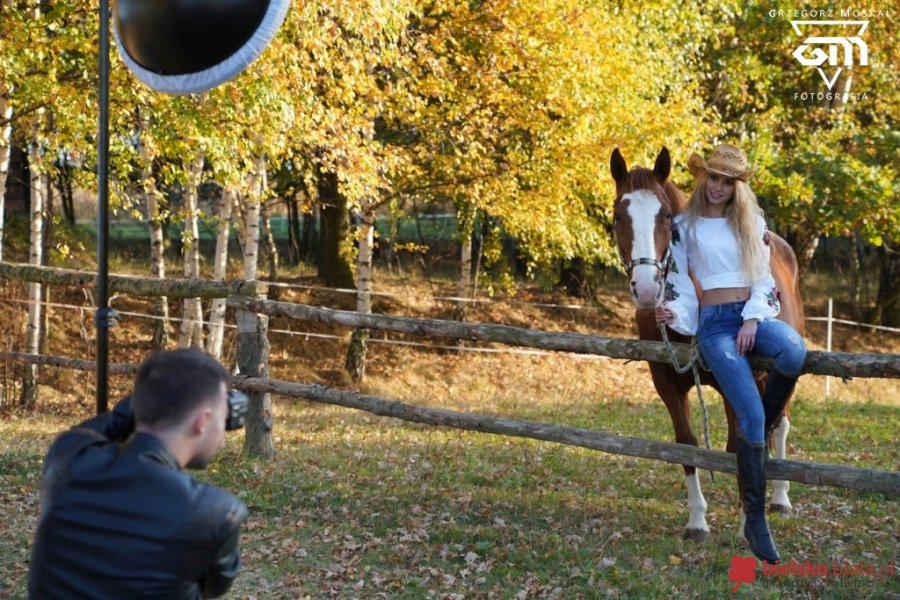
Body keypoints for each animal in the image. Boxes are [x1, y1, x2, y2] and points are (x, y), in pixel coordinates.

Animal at [608, 146, 804, 544]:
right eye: (619, 215)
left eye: (667, 216)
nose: (647, 289)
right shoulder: (667, 383)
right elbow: (687, 445)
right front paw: (697, 520)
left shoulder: (736, 384)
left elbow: (735, 447)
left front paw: (746, 523)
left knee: (779, 424)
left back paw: (779, 499)